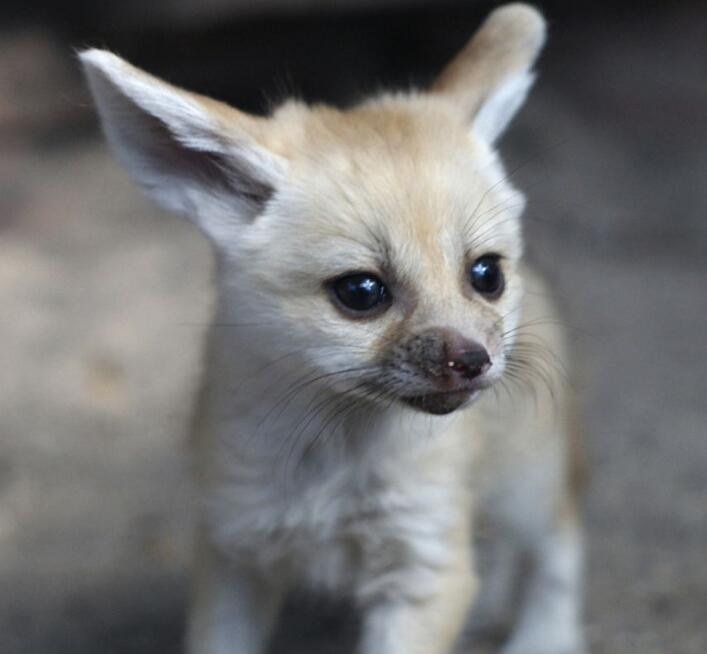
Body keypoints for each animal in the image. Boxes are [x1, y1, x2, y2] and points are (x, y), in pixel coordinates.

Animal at [80, 5, 588, 654]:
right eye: (361, 292)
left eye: (485, 275)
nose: (473, 360)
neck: (331, 472)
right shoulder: (233, 548)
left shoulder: (425, 567)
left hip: (529, 486)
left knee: (560, 544)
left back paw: (545, 635)